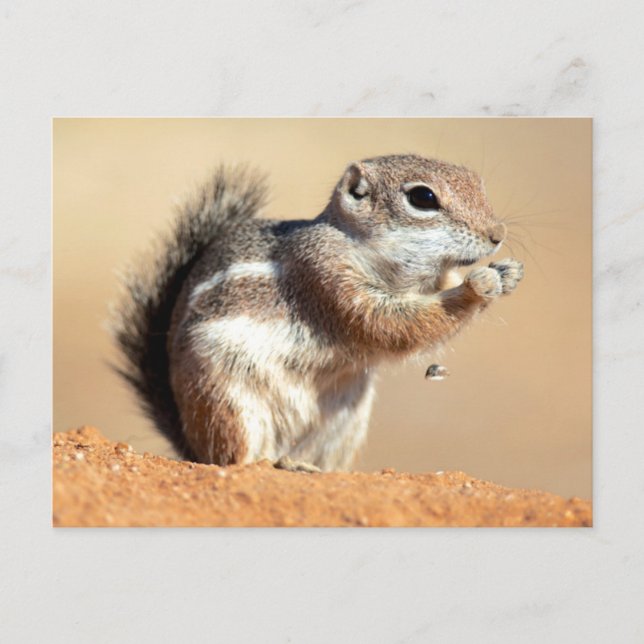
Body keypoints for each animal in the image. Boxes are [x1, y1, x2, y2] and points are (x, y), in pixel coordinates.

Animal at [112, 154, 524, 471]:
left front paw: (508, 274)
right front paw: (477, 286)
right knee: (235, 459)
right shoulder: (324, 275)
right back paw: (274, 463)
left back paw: (308, 467)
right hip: (226, 401)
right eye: (423, 197)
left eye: (477, 182)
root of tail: (191, 443)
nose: (497, 234)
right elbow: (390, 325)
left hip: (344, 423)